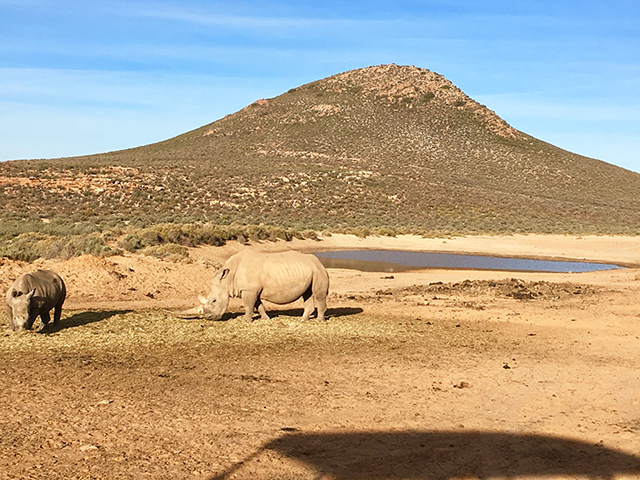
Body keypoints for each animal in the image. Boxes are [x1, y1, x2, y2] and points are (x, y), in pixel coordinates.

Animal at [199, 248, 330, 322]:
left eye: (214, 300)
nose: (208, 317)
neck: (228, 278)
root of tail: (319, 261)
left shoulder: (249, 290)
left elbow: (248, 306)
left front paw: (244, 320)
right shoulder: (252, 290)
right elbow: (258, 305)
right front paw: (265, 319)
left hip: (318, 270)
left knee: (318, 295)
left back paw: (319, 321)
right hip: (310, 270)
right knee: (307, 293)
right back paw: (303, 320)